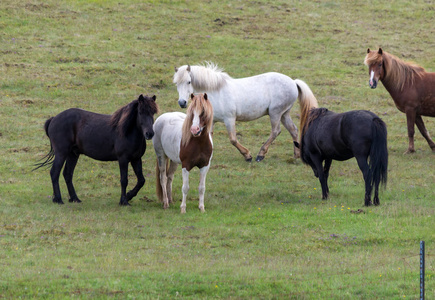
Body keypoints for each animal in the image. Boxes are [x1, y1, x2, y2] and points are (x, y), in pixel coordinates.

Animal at [175, 62, 320, 162]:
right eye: (176, 83)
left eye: (189, 82)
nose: (182, 102)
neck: (216, 92)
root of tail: (293, 82)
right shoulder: (212, 120)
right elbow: (209, 137)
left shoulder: (229, 119)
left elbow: (233, 139)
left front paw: (247, 156)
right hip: (284, 114)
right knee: (293, 130)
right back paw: (296, 155)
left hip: (275, 113)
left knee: (276, 131)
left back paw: (260, 155)